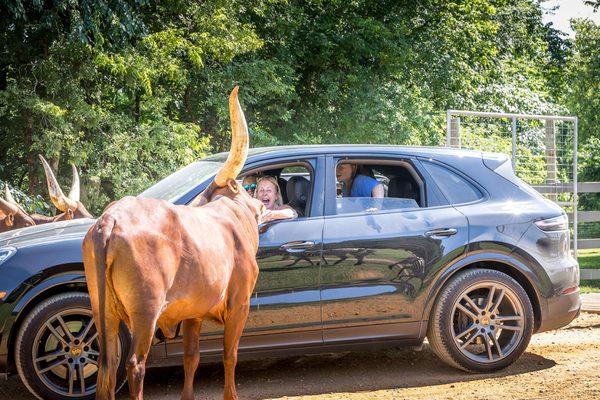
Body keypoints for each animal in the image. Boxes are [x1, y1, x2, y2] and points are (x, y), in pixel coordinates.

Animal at [81, 87, 268, 400]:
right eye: (246, 187)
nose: (262, 204)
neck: (229, 218)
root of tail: (110, 218)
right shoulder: (239, 304)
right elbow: (230, 355)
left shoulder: (192, 313)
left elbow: (191, 357)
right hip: (145, 312)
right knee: (135, 364)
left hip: (102, 310)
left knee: (107, 366)